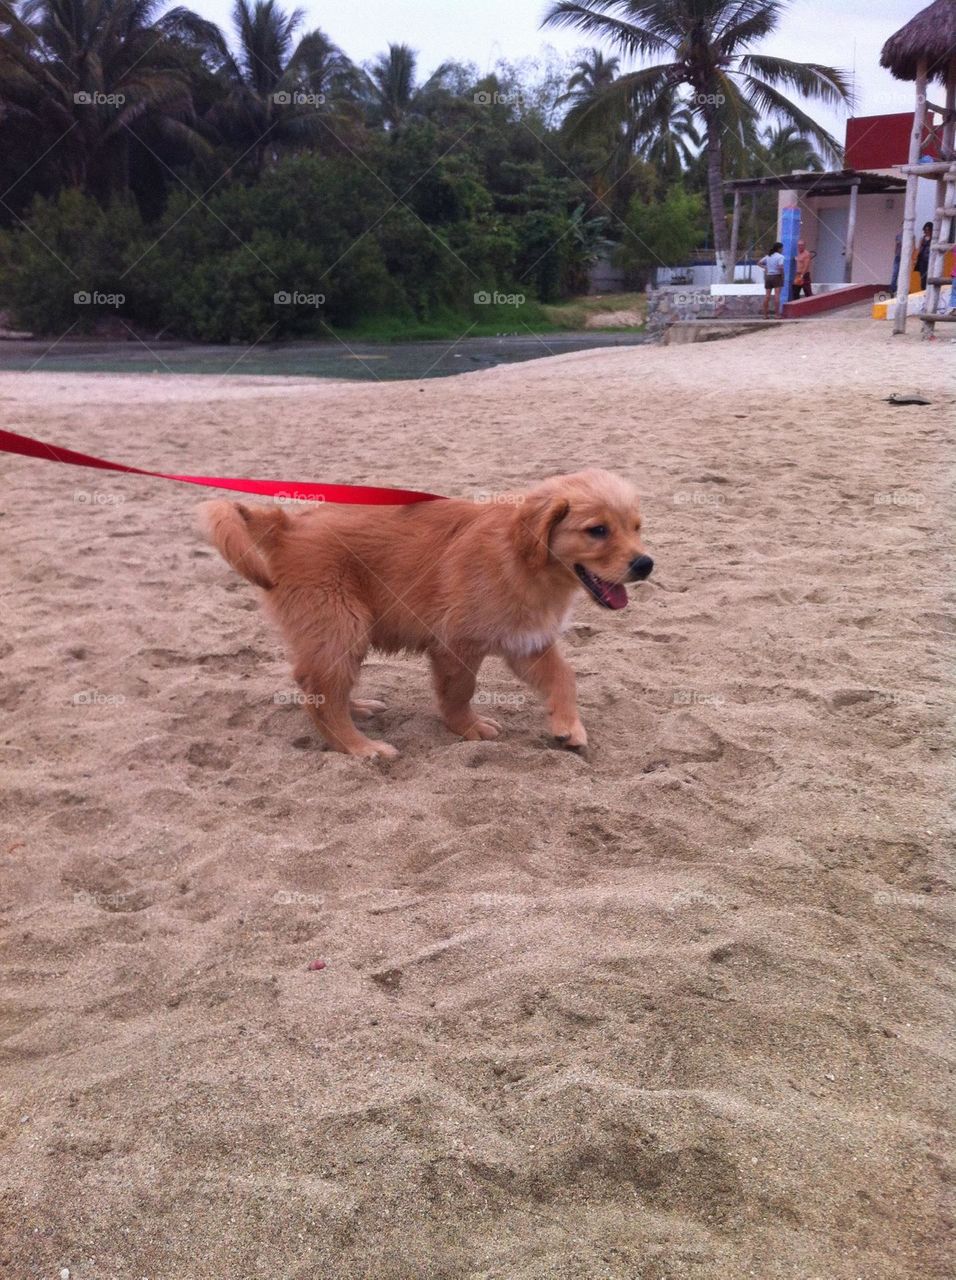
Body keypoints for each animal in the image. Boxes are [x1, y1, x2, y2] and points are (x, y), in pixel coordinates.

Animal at [199, 476, 650, 762]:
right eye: (597, 530)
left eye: (637, 527)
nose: (646, 564)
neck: (524, 560)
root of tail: (285, 525)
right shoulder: (457, 642)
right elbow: (460, 692)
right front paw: (468, 729)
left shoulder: (527, 640)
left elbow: (564, 677)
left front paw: (569, 727)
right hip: (342, 624)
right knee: (319, 694)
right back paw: (360, 748)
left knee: (324, 688)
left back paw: (358, 708)